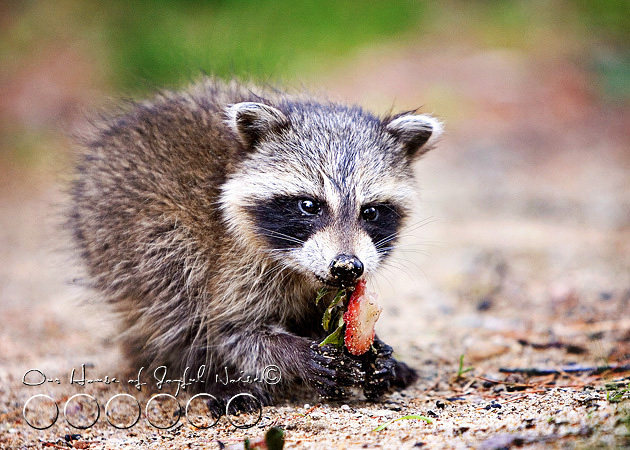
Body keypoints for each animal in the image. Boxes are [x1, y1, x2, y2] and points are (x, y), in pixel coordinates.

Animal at [69, 77, 442, 408]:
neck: (298, 269)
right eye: (309, 205)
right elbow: (232, 332)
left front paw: (375, 351)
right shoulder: (232, 261)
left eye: (371, 212)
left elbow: (330, 311)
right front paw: (295, 355)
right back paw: (206, 373)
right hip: (135, 234)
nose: (347, 266)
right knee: (174, 301)